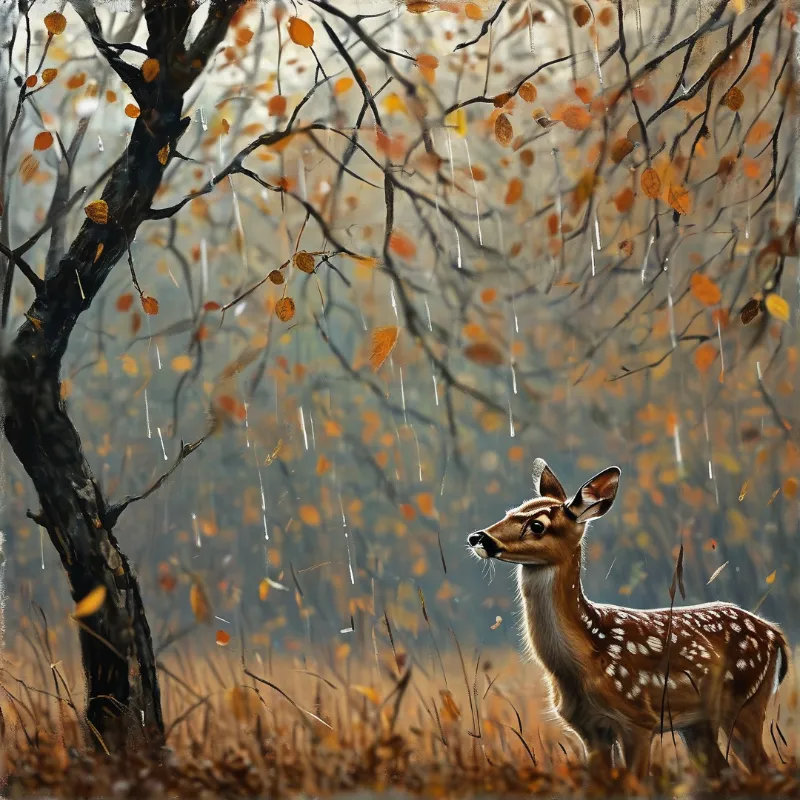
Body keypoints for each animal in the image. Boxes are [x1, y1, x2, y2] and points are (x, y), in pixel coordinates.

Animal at [467, 459, 790, 780]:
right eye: (510, 512)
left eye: (537, 525)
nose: (478, 537)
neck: (583, 660)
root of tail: (776, 634)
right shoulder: (588, 728)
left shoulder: (638, 718)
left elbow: (638, 781)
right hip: (698, 723)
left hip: (744, 701)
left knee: (765, 769)